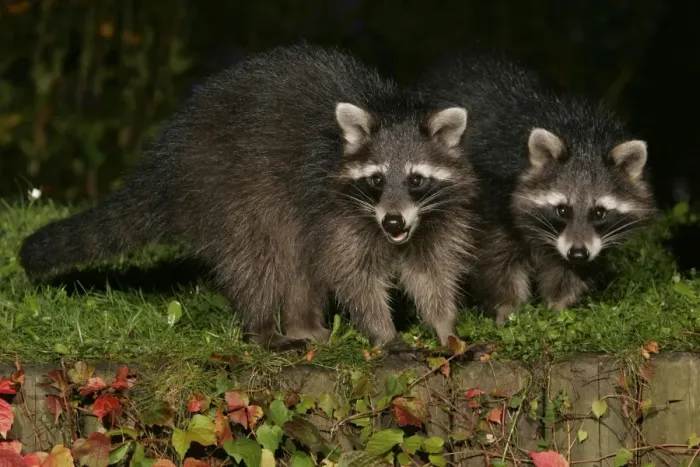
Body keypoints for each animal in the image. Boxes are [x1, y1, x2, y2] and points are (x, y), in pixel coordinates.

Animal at [19, 44, 478, 350]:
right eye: (377, 180)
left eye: (416, 180)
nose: (393, 222)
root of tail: (167, 158)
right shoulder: (334, 209)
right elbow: (352, 274)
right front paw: (384, 332)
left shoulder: (435, 217)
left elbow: (433, 271)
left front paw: (445, 328)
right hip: (229, 191)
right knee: (257, 260)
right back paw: (265, 330)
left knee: (296, 264)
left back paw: (301, 323)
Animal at [415, 53, 656, 324]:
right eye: (562, 210)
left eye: (599, 213)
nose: (578, 253)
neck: (583, 137)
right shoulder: (490, 195)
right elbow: (495, 259)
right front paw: (507, 309)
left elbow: (567, 271)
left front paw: (559, 306)